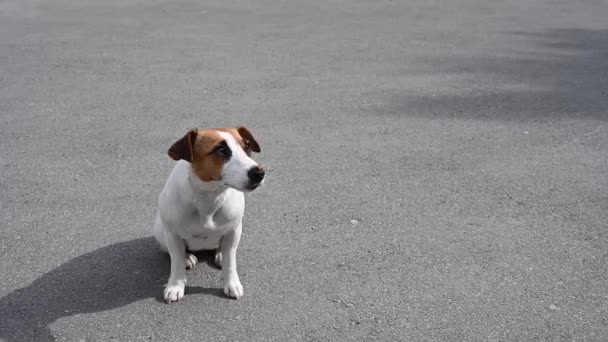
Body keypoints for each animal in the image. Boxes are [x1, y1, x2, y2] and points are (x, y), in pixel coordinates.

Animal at [152, 127, 264, 304]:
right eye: (221, 150)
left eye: (246, 146)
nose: (259, 173)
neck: (209, 197)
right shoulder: (172, 234)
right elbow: (176, 263)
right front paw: (176, 286)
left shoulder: (234, 230)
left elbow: (230, 262)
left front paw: (232, 284)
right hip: (160, 231)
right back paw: (187, 257)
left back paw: (220, 253)